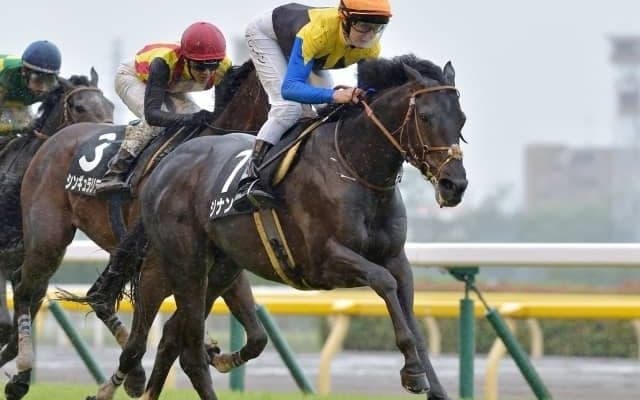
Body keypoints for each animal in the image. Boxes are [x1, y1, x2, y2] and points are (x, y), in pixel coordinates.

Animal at [96, 54, 468, 400]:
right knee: (173, 343)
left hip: (223, 267)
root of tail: (164, 166)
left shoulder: (397, 259)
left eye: (461, 119)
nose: (455, 185)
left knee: (174, 336)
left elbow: (410, 315)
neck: (354, 167)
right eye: (425, 117)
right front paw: (412, 370)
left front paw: (431, 383)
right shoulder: (323, 259)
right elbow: (383, 282)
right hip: (181, 263)